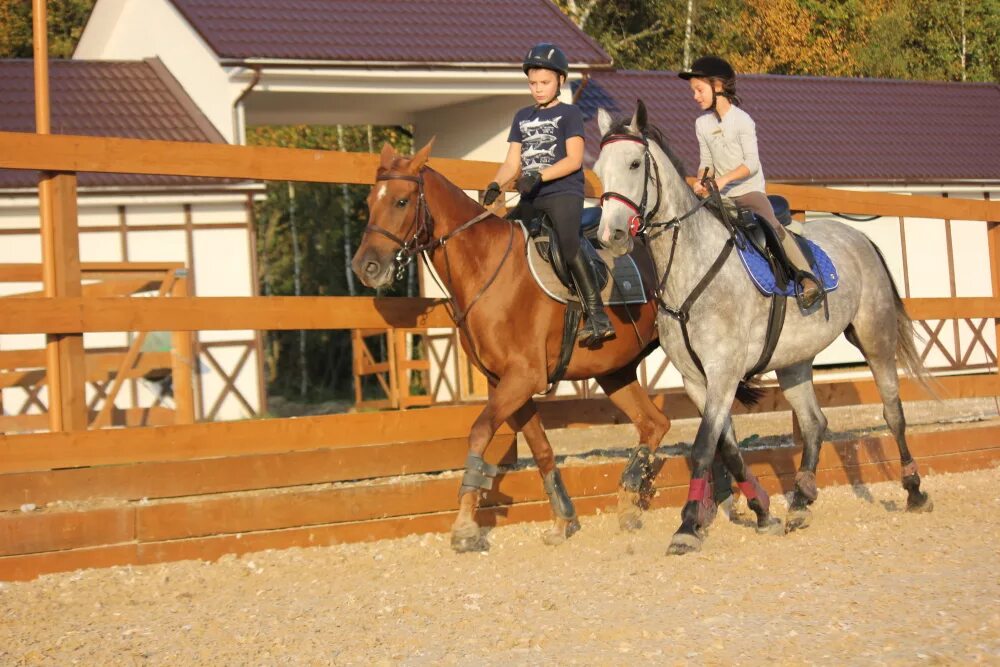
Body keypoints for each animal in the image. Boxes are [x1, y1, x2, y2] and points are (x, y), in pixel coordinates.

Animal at [352, 141, 672, 552]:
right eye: (369, 200)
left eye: (402, 201)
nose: (365, 267)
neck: (487, 266)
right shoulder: (505, 381)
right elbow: (541, 449)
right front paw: (562, 519)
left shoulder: (522, 377)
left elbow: (478, 433)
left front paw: (464, 527)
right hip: (615, 372)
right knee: (654, 424)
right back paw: (629, 502)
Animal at [596, 102, 932, 556]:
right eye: (599, 169)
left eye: (634, 163)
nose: (610, 235)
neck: (691, 266)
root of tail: (859, 236)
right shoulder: (696, 380)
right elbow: (727, 448)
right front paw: (762, 511)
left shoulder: (723, 372)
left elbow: (704, 447)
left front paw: (687, 527)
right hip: (794, 362)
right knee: (814, 423)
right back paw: (801, 501)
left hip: (875, 338)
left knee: (893, 413)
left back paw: (914, 490)